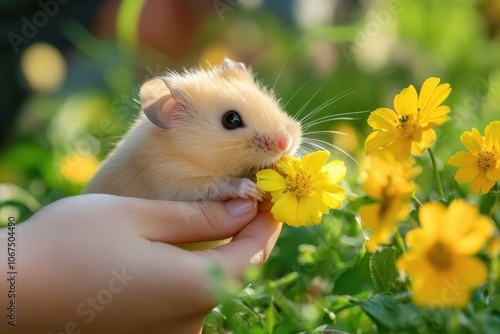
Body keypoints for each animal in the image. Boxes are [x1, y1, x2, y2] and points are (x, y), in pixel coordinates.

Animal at [85, 58, 300, 205]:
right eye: (231, 119)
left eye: (272, 102)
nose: (286, 143)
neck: (183, 154)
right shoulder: (167, 180)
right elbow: (214, 184)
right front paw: (252, 190)